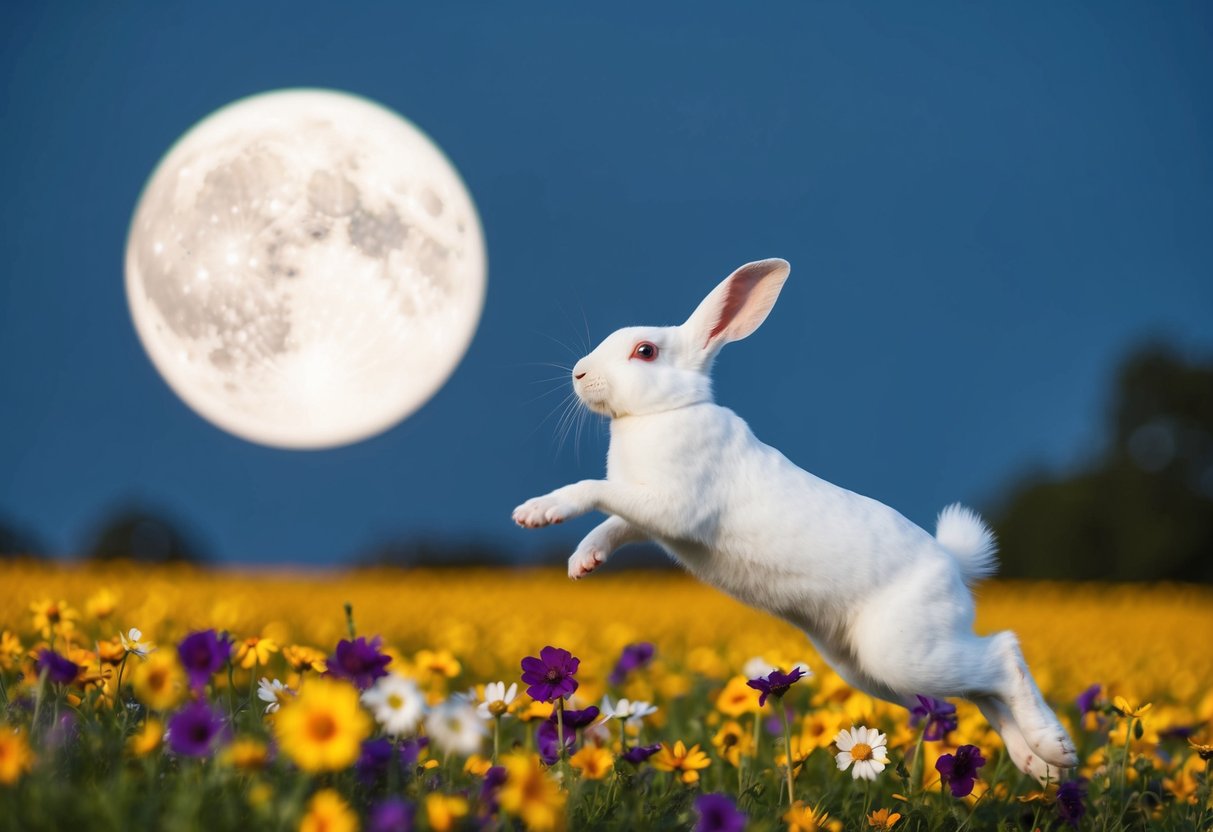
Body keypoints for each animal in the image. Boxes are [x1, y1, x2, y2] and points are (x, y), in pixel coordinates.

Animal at [512, 258, 1079, 781]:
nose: (579, 374)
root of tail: (954, 566)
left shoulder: (669, 505)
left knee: (1003, 655)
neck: (663, 413)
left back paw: (1057, 748)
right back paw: (1040, 764)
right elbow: (612, 524)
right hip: (878, 671)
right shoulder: (643, 514)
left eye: (645, 352)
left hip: (904, 653)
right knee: (983, 691)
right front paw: (582, 563)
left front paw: (537, 512)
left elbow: (594, 492)